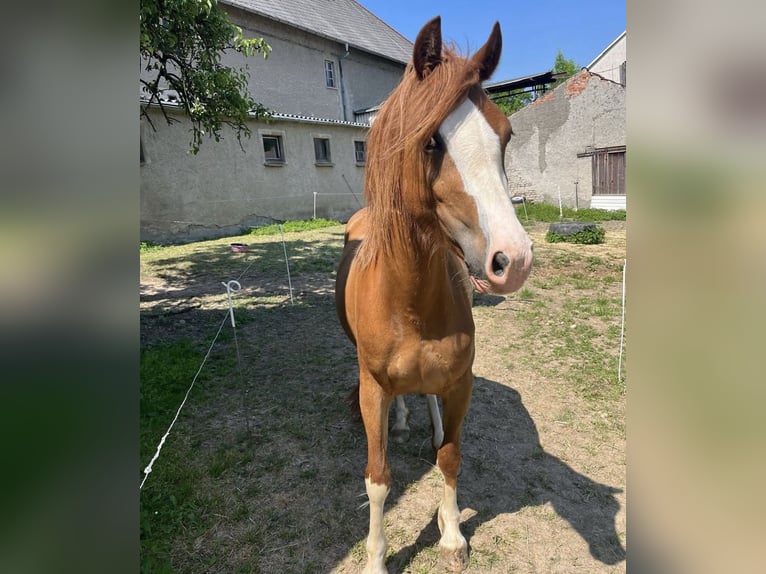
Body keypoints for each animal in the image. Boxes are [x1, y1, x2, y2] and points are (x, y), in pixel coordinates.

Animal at [336, 15, 536, 572]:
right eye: (430, 142)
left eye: (505, 135)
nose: (513, 259)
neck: (409, 302)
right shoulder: (372, 390)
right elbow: (378, 478)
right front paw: (376, 558)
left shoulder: (459, 385)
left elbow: (450, 455)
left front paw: (451, 536)